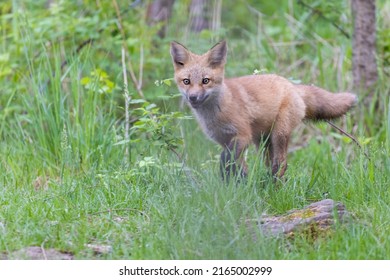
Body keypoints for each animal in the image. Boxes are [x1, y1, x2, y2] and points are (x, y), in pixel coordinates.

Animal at [169, 40, 358, 178]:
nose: (193, 97)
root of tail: (292, 86)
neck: (216, 114)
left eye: (205, 81)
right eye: (186, 81)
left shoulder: (242, 136)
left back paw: (274, 185)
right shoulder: (224, 140)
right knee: (271, 163)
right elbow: (239, 167)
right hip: (263, 141)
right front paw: (239, 185)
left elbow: (225, 159)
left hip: (278, 135)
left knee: (281, 164)